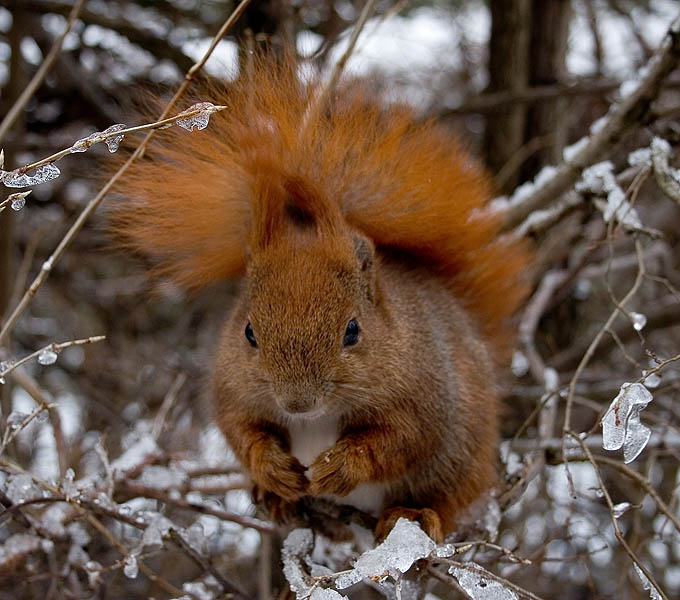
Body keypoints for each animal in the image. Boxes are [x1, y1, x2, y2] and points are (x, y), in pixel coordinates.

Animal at [111, 57, 528, 544]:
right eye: (248, 332)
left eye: (353, 331)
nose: (297, 403)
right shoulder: (233, 387)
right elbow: (241, 429)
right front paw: (271, 468)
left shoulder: (426, 392)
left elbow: (401, 439)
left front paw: (342, 465)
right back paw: (275, 498)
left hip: (460, 458)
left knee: (446, 496)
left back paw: (413, 515)